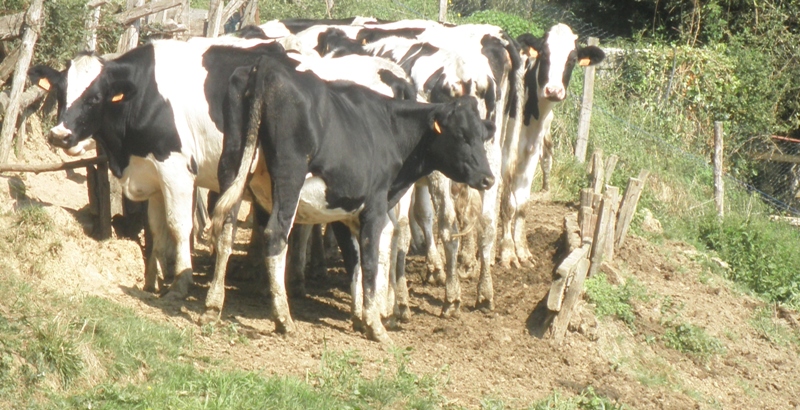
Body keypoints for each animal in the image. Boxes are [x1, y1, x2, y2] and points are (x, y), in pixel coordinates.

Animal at [209, 53, 494, 342]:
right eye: (461, 135)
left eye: (483, 136)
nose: (488, 179)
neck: (389, 127)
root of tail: (267, 67)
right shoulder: (374, 206)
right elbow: (369, 260)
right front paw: (375, 324)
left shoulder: (346, 209)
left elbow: (354, 259)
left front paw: (360, 316)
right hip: (290, 176)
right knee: (275, 235)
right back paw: (283, 319)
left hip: (232, 165)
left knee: (225, 229)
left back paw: (213, 304)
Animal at [496, 24, 604, 268]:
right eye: (544, 54)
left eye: (572, 59)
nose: (553, 90)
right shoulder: (507, 153)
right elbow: (508, 203)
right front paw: (507, 254)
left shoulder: (531, 152)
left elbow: (522, 204)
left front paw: (523, 251)